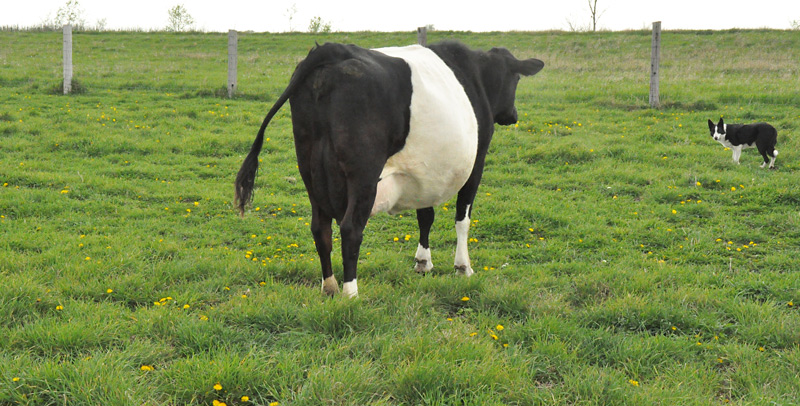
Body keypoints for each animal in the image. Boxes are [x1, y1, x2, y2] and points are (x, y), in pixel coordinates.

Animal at [235, 41, 544, 298]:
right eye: (515, 79)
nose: (513, 115)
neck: (476, 77)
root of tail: (333, 50)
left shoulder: (424, 172)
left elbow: (425, 215)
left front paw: (423, 262)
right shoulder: (477, 161)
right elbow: (462, 218)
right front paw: (463, 267)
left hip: (309, 171)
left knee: (320, 229)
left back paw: (330, 286)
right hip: (364, 175)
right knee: (350, 228)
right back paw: (350, 293)